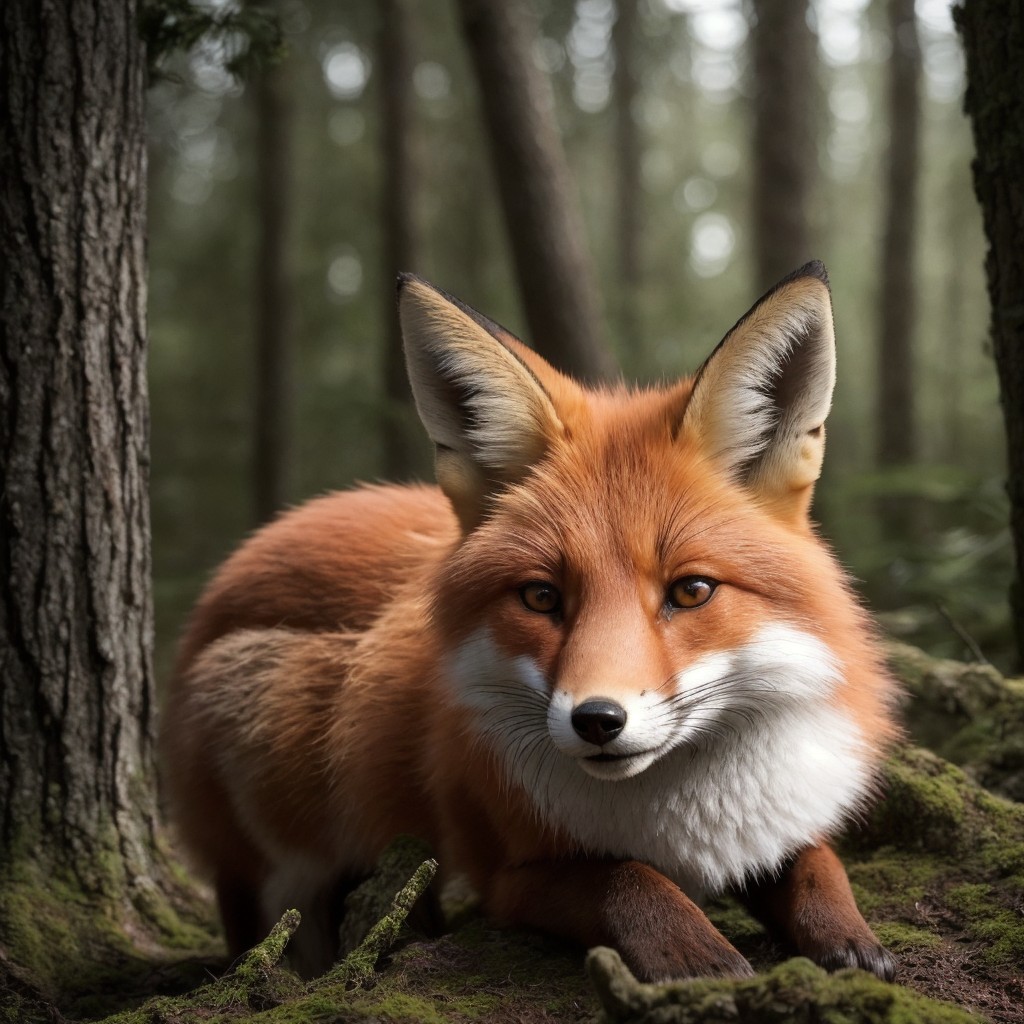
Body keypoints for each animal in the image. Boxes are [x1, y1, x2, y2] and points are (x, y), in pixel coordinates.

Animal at [161, 261, 900, 984]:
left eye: (691, 591)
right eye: (542, 598)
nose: (597, 720)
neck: (684, 823)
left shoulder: (778, 829)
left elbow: (817, 865)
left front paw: (851, 940)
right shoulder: (506, 879)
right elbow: (624, 877)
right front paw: (696, 953)